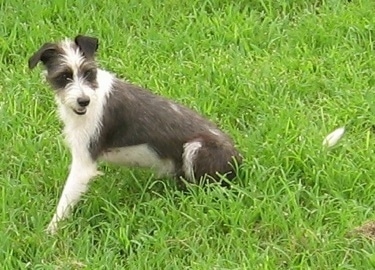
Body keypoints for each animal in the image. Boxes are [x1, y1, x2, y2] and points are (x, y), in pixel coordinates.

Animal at [27, 34, 242, 234]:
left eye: (89, 72)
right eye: (64, 76)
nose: (83, 101)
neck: (94, 93)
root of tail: (239, 158)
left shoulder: (84, 163)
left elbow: (65, 201)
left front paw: (50, 232)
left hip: (196, 148)